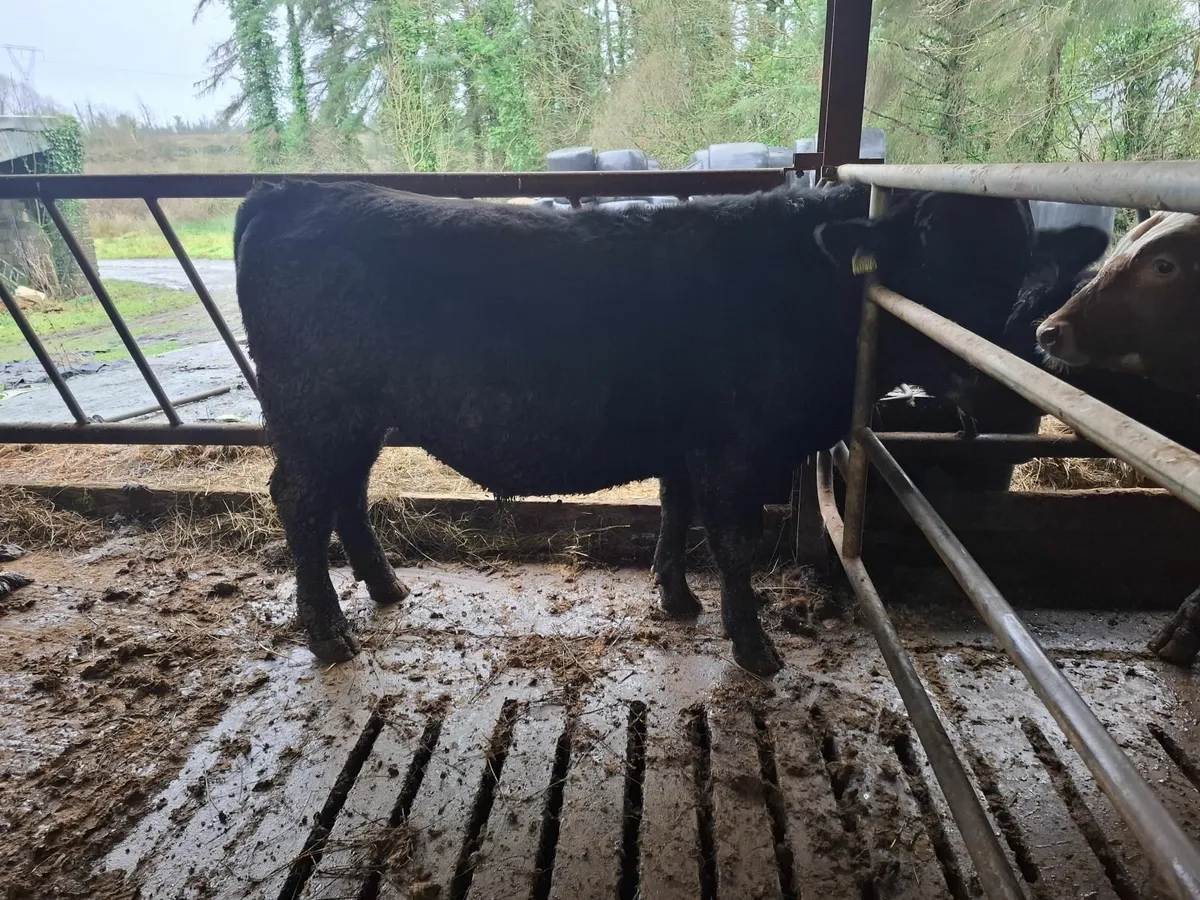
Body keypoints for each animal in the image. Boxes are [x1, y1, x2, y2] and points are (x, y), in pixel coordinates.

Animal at [233, 179, 1037, 677]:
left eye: (1020, 254)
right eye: (929, 239)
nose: (992, 374)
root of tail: (290, 190)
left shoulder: (687, 443)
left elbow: (677, 514)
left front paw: (677, 598)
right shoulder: (735, 446)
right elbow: (735, 542)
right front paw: (753, 646)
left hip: (355, 418)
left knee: (346, 496)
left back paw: (386, 587)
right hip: (314, 412)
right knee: (302, 502)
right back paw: (328, 631)